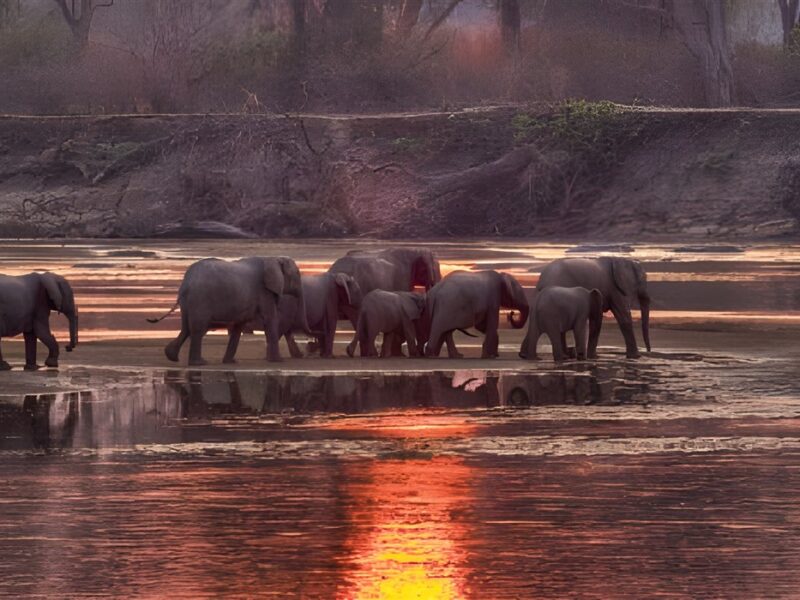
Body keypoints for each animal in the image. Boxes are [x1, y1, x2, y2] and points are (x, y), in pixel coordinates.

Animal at [148, 256, 309, 366]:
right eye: (297, 274)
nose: (306, 353)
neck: (272, 259)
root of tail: (186, 282)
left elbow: (239, 325)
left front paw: (231, 362)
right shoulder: (264, 293)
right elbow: (270, 319)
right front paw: (278, 361)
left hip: (189, 302)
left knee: (186, 328)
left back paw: (171, 356)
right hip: (200, 299)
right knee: (198, 329)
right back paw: (199, 363)